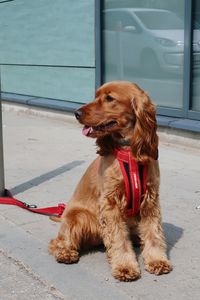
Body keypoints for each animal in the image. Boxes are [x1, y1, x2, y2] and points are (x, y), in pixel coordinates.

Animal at [48, 80, 172, 282]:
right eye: (96, 96)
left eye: (109, 98)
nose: (76, 113)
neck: (129, 152)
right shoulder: (110, 203)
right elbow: (118, 239)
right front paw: (125, 267)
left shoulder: (150, 200)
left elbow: (153, 233)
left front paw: (157, 261)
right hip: (78, 217)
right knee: (58, 241)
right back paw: (65, 253)